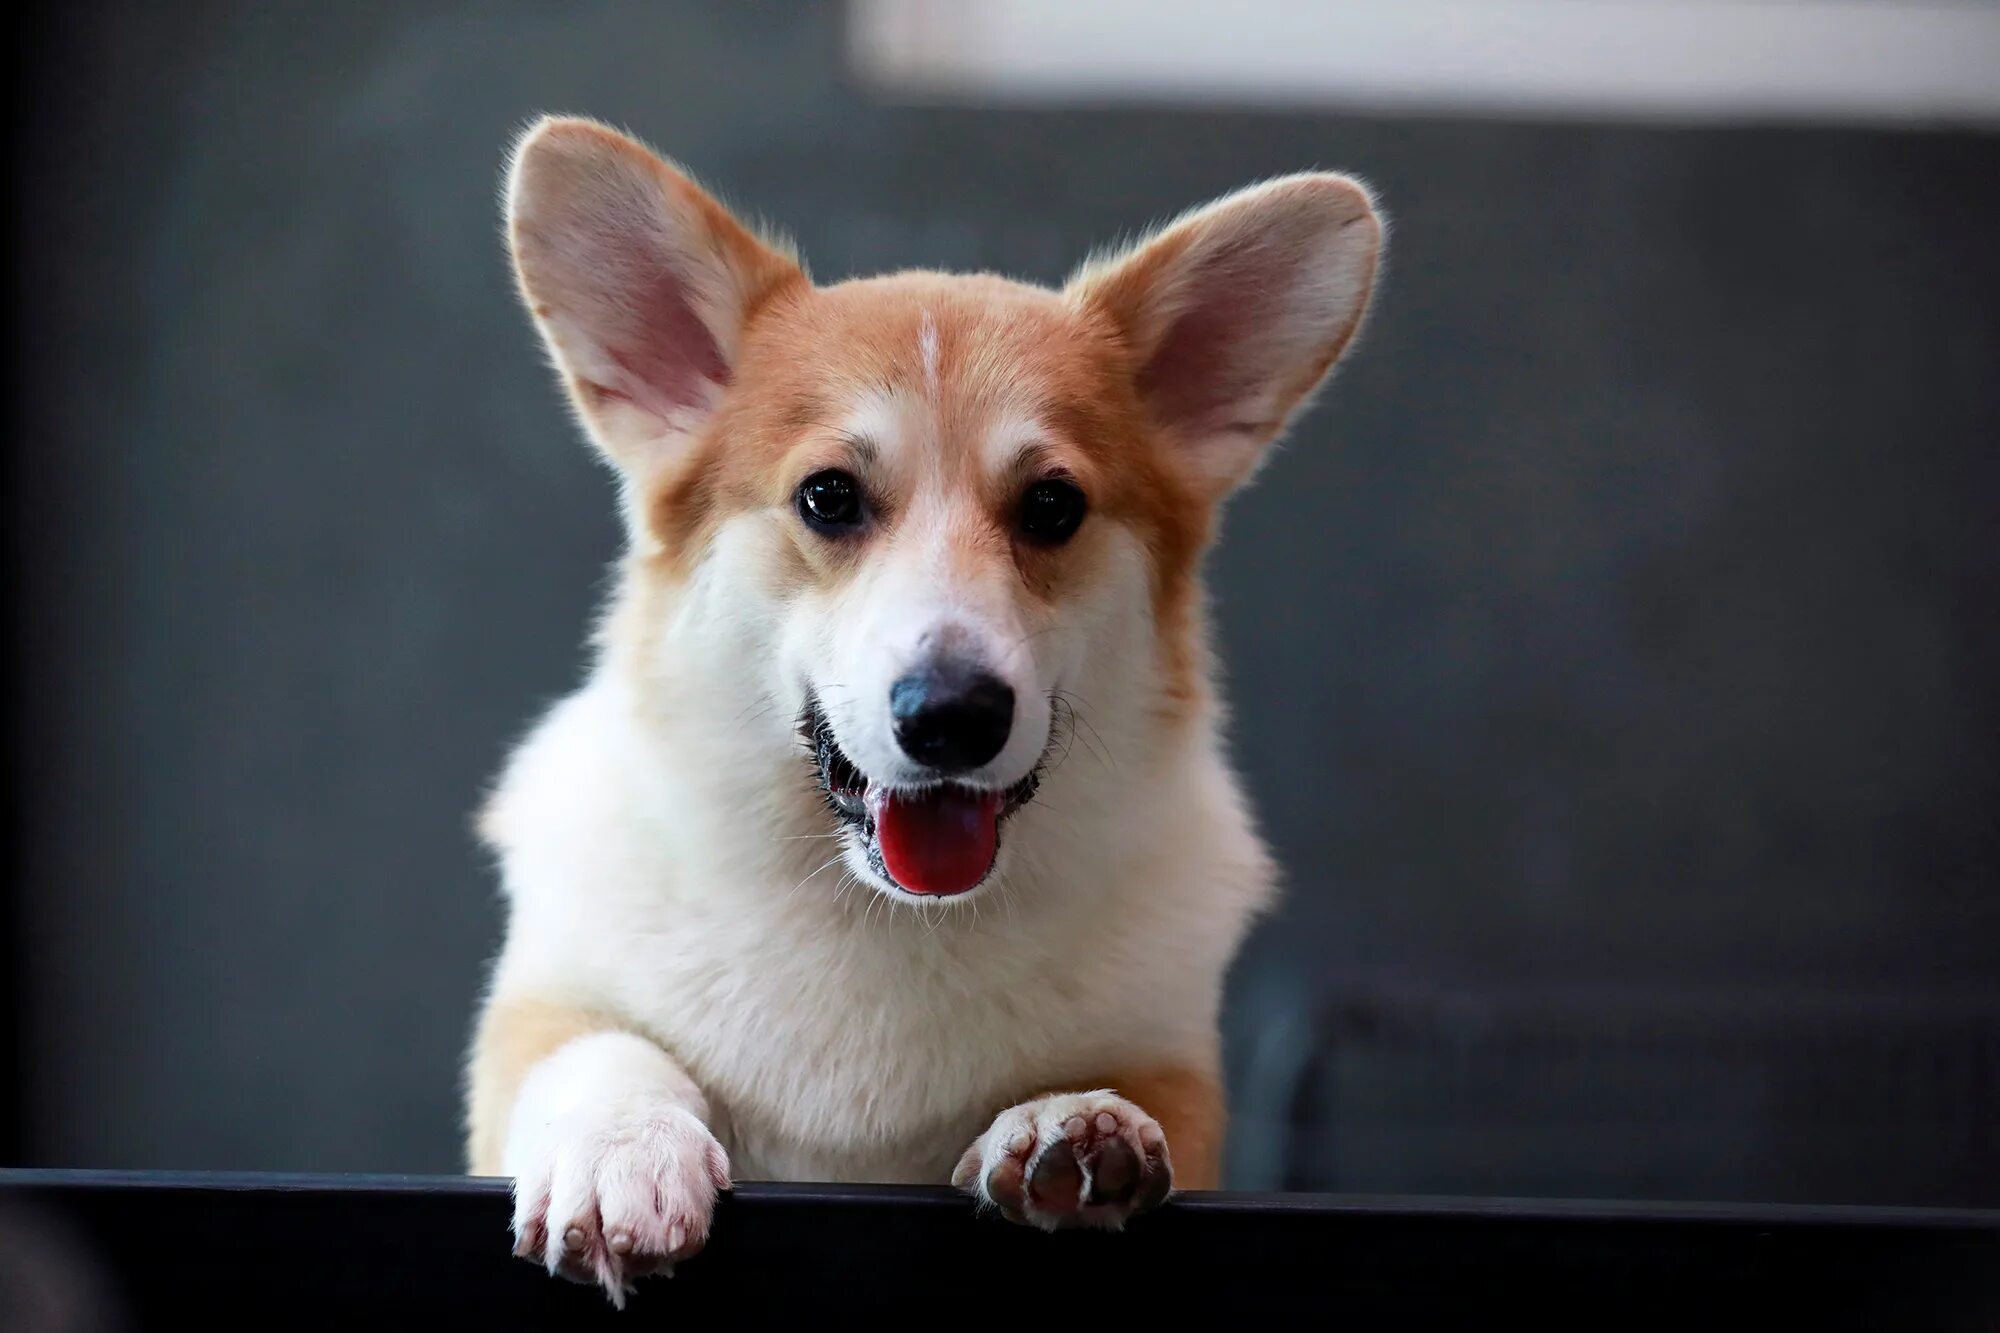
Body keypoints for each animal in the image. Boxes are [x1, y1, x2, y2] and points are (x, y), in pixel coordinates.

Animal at [462, 114, 1384, 1296]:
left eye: (1053, 506)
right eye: (827, 497)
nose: (952, 717)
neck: (882, 916)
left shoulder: (1179, 1074)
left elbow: (1129, 1098)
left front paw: (1071, 1125)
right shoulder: (541, 1018)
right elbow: (599, 1050)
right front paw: (619, 1154)